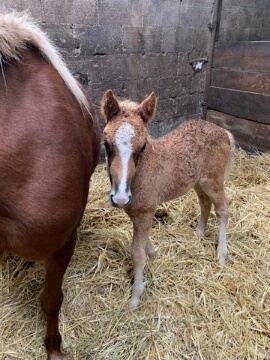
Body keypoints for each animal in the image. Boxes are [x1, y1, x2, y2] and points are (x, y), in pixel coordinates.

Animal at [101, 88, 234, 308]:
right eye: (106, 144)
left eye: (143, 146)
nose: (119, 198)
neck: (142, 172)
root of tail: (225, 132)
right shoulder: (135, 210)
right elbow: (143, 242)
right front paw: (153, 255)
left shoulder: (146, 210)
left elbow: (137, 253)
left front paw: (136, 297)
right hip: (196, 181)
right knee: (204, 202)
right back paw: (199, 234)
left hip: (213, 180)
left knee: (222, 207)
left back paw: (222, 254)